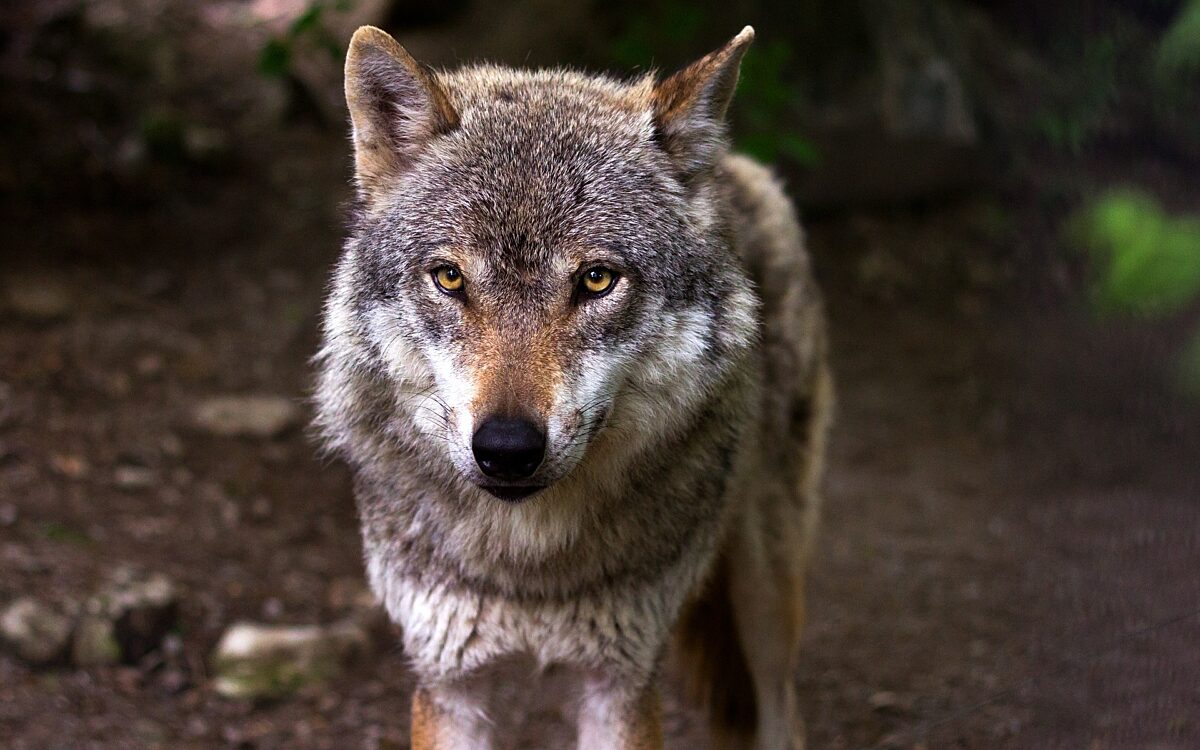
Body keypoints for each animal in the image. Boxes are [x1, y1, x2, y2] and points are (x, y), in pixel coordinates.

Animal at [314, 23, 832, 750]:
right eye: (449, 277)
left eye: (596, 280)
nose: (506, 448)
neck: (529, 567)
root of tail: (731, 166)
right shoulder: (448, 683)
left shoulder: (620, 683)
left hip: (766, 598)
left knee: (784, 710)